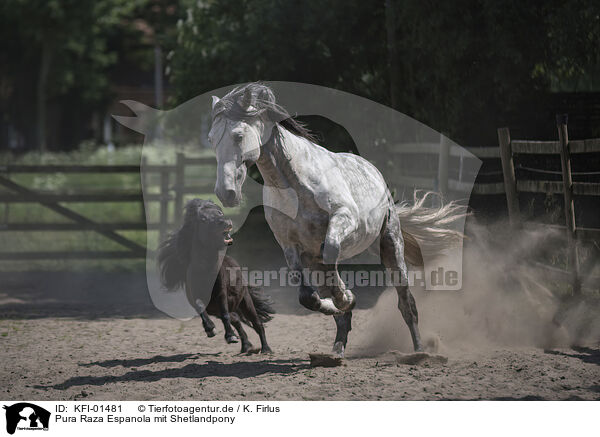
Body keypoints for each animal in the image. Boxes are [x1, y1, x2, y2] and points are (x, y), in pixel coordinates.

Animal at [158, 199, 274, 352]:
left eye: (219, 212)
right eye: (203, 219)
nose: (226, 222)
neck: (205, 271)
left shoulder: (221, 293)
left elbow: (225, 314)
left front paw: (229, 336)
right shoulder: (194, 296)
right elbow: (200, 307)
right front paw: (210, 329)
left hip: (246, 302)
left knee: (256, 323)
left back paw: (266, 349)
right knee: (237, 320)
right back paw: (245, 346)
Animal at [209, 83, 462, 356]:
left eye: (238, 136)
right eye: (211, 139)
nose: (225, 193)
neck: (294, 184)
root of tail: (374, 172)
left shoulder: (343, 220)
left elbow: (330, 251)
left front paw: (345, 297)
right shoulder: (290, 247)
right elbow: (307, 296)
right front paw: (336, 303)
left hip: (391, 246)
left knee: (406, 303)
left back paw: (419, 349)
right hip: (316, 261)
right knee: (333, 301)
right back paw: (337, 347)